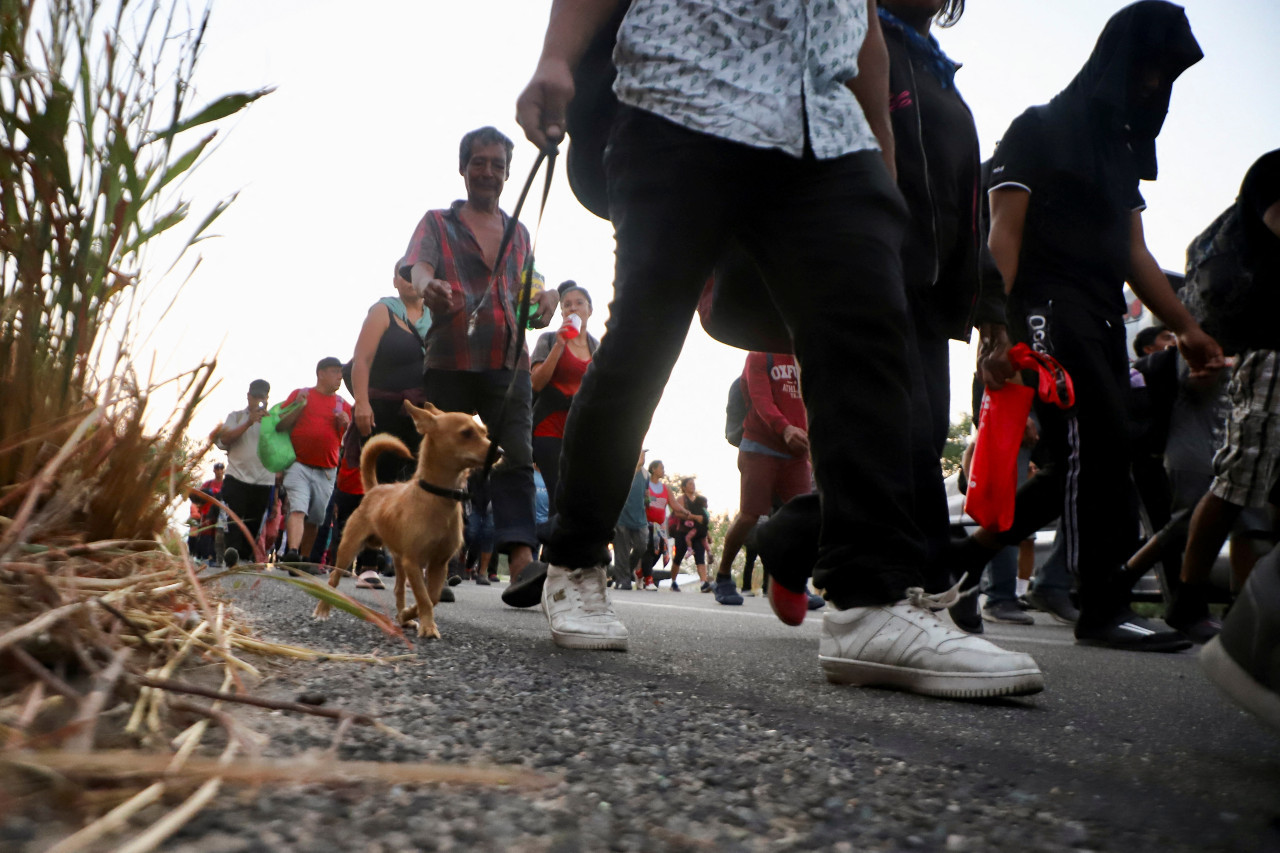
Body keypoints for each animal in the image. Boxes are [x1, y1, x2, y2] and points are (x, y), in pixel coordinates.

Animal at [311, 402, 488, 635]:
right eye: (466, 433)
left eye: (485, 433)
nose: (499, 451)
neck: (438, 497)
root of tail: (375, 489)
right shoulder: (413, 561)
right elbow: (423, 596)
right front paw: (428, 627)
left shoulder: (439, 563)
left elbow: (432, 597)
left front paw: (410, 615)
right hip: (348, 549)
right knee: (333, 580)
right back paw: (323, 609)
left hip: (398, 560)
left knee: (398, 589)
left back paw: (403, 619)